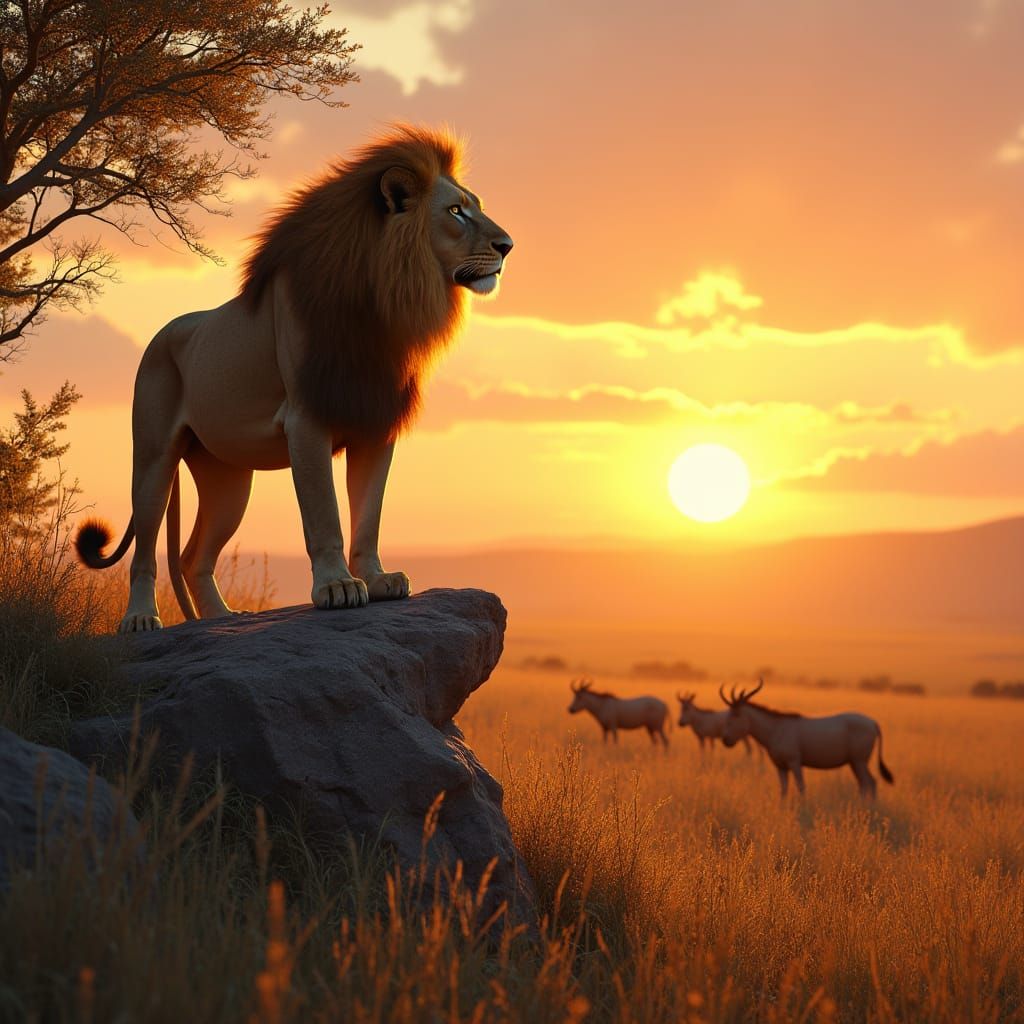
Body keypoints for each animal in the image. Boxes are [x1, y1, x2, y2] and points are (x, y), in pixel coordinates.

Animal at [75, 124, 513, 632]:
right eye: (456, 212)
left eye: (475, 205)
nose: (508, 246)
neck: (384, 305)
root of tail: (162, 334)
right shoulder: (307, 421)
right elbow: (324, 513)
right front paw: (337, 587)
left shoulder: (375, 424)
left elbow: (369, 514)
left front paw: (377, 579)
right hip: (153, 458)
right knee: (145, 551)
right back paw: (142, 618)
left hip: (228, 477)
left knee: (192, 556)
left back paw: (223, 621)